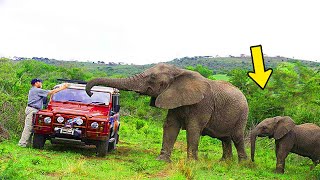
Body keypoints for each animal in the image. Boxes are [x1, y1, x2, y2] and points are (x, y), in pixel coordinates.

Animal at [86, 63, 249, 162]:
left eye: (152, 77)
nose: (90, 93)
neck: (178, 72)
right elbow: (171, 126)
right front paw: (162, 160)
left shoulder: (203, 104)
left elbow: (193, 129)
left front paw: (191, 163)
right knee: (225, 139)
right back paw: (224, 162)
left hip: (242, 114)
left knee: (236, 137)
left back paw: (242, 164)